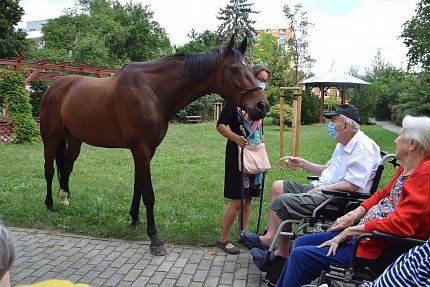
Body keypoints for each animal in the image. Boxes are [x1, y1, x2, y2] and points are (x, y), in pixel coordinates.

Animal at [40, 34, 268, 256]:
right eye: (235, 69)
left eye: (251, 69)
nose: (262, 105)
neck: (153, 91)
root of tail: (54, 87)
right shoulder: (140, 149)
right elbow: (148, 193)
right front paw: (155, 238)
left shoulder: (148, 151)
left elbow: (138, 184)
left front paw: (134, 218)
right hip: (50, 138)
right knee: (49, 170)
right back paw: (49, 204)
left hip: (74, 140)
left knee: (66, 168)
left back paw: (64, 198)